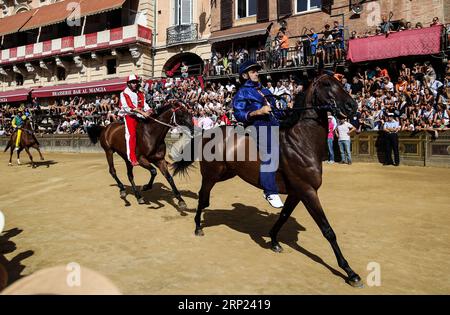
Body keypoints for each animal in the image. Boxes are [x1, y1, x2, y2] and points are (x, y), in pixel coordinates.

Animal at [171, 74, 364, 288]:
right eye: (327, 84)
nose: (352, 106)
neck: (301, 141)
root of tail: (208, 133)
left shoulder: (297, 192)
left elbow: (284, 216)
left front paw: (274, 241)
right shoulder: (308, 190)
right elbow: (327, 230)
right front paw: (350, 272)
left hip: (226, 173)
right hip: (211, 175)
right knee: (203, 198)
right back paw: (198, 226)